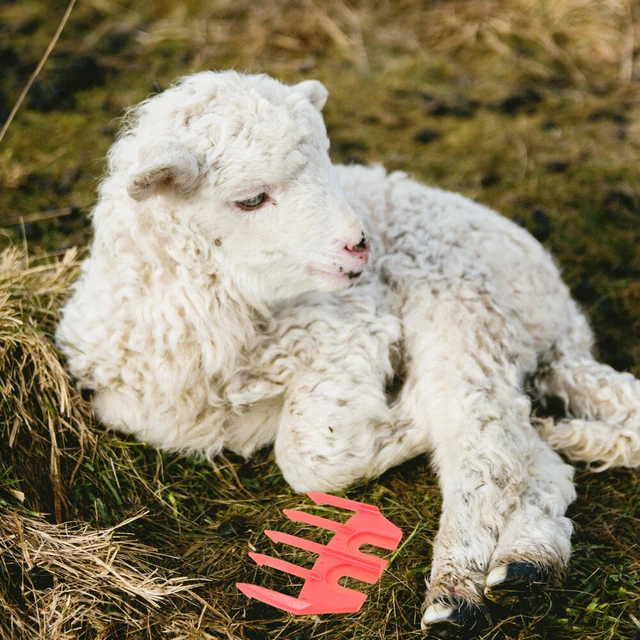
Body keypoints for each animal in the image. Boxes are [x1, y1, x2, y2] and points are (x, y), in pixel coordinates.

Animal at [56, 70, 640, 635]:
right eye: (251, 199)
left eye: (328, 163)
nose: (359, 245)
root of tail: (559, 321)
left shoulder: (350, 329)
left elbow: (312, 458)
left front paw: (406, 415)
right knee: (533, 456)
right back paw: (526, 564)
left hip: (461, 297)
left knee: (482, 437)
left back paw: (455, 595)